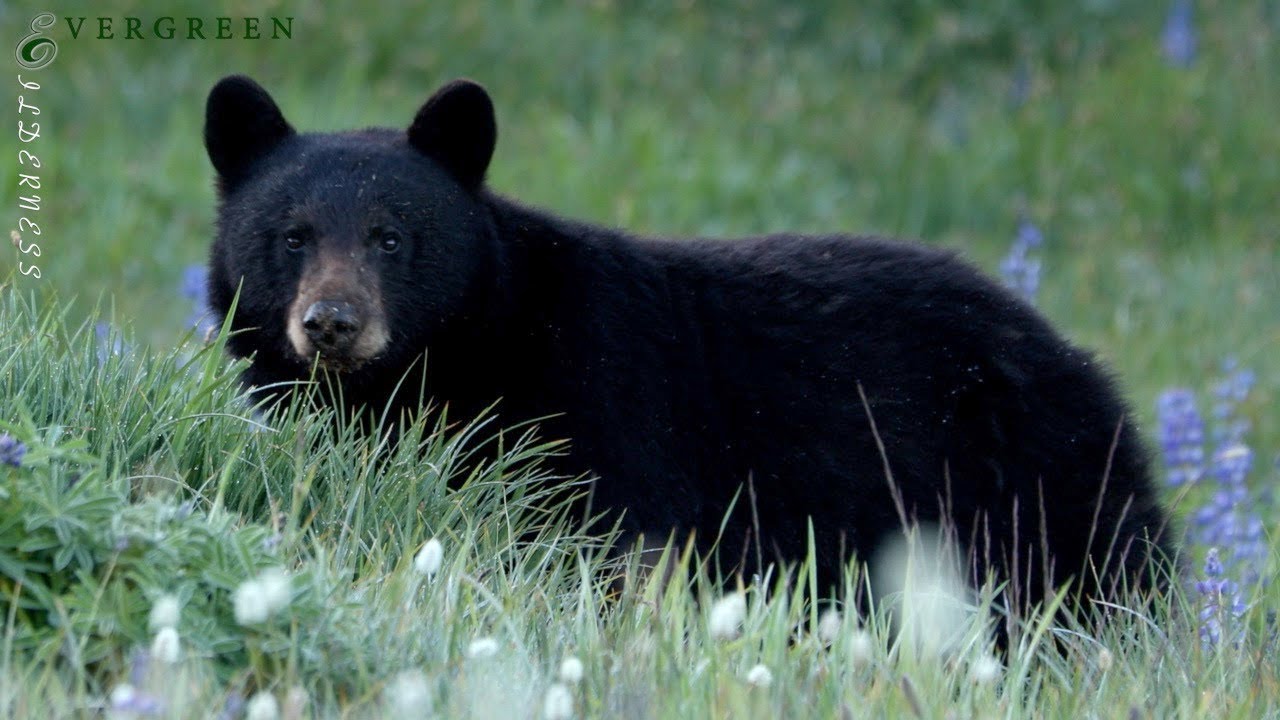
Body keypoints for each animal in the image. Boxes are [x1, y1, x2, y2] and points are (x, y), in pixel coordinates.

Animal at [203, 75, 1172, 618]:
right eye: (290, 236)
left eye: (391, 236)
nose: (332, 322)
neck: (469, 350)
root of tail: (1074, 354)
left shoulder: (597, 405)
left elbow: (602, 541)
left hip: (1027, 479)